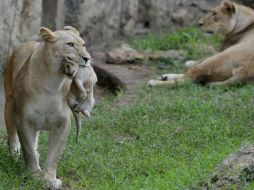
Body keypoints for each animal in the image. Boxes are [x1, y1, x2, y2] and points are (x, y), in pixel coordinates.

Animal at [4, 26, 90, 189]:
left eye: (83, 45)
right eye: (70, 44)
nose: (87, 58)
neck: (53, 83)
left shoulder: (62, 124)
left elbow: (54, 155)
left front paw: (50, 178)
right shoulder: (23, 120)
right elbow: (28, 149)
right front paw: (34, 175)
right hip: (9, 107)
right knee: (12, 138)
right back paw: (15, 156)